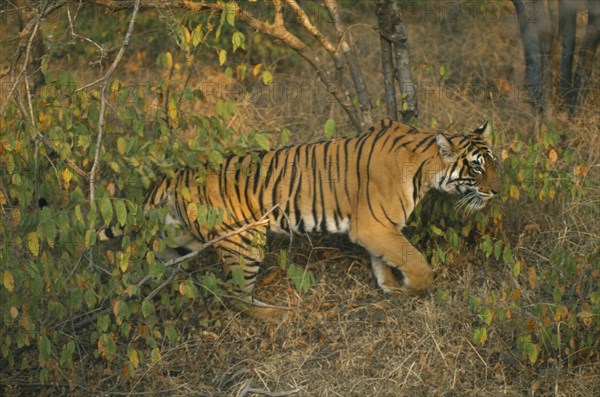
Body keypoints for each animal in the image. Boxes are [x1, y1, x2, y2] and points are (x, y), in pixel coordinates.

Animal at [102, 119, 496, 320]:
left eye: (494, 163)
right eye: (476, 168)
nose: (495, 191)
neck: (426, 170)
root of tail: (177, 174)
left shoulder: (379, 229)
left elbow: (383, 260)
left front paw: (390, 287)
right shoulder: (373, 226)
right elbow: (414, 260)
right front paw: (414, 288)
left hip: (182, 237)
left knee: (149, 264)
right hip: (243, 243)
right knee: (235, 294)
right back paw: (278, 315)